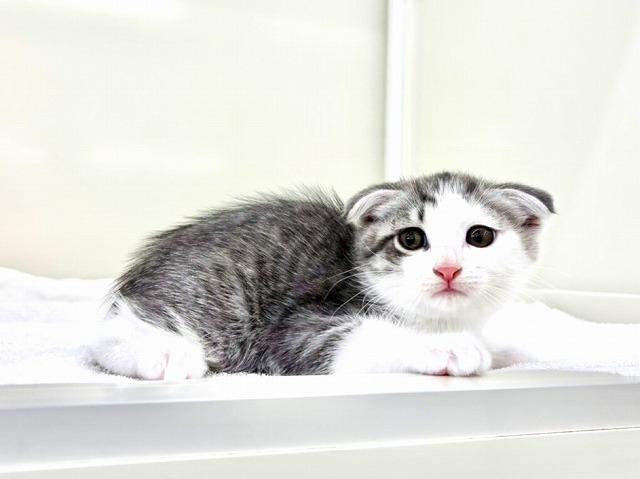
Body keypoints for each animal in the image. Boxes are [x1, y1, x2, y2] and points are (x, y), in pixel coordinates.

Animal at [91, 172, 554, 379]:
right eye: (410, 238)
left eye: (479, 236)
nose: (447, 268)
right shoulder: (294, 328)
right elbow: (359, 334)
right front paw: (445, 347)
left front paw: (508, 350)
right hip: (215, 299)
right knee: (106, 340)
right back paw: (165, 353)